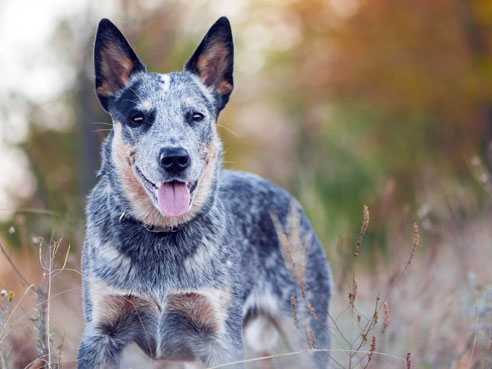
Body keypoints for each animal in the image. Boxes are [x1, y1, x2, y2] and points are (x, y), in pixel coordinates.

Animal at [77, 15, 332, 366]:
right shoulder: (100, 334)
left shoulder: (220, 338)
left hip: (306, 327)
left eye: (196, 115)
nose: (174, 158)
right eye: (137, 117)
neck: (161, 234)